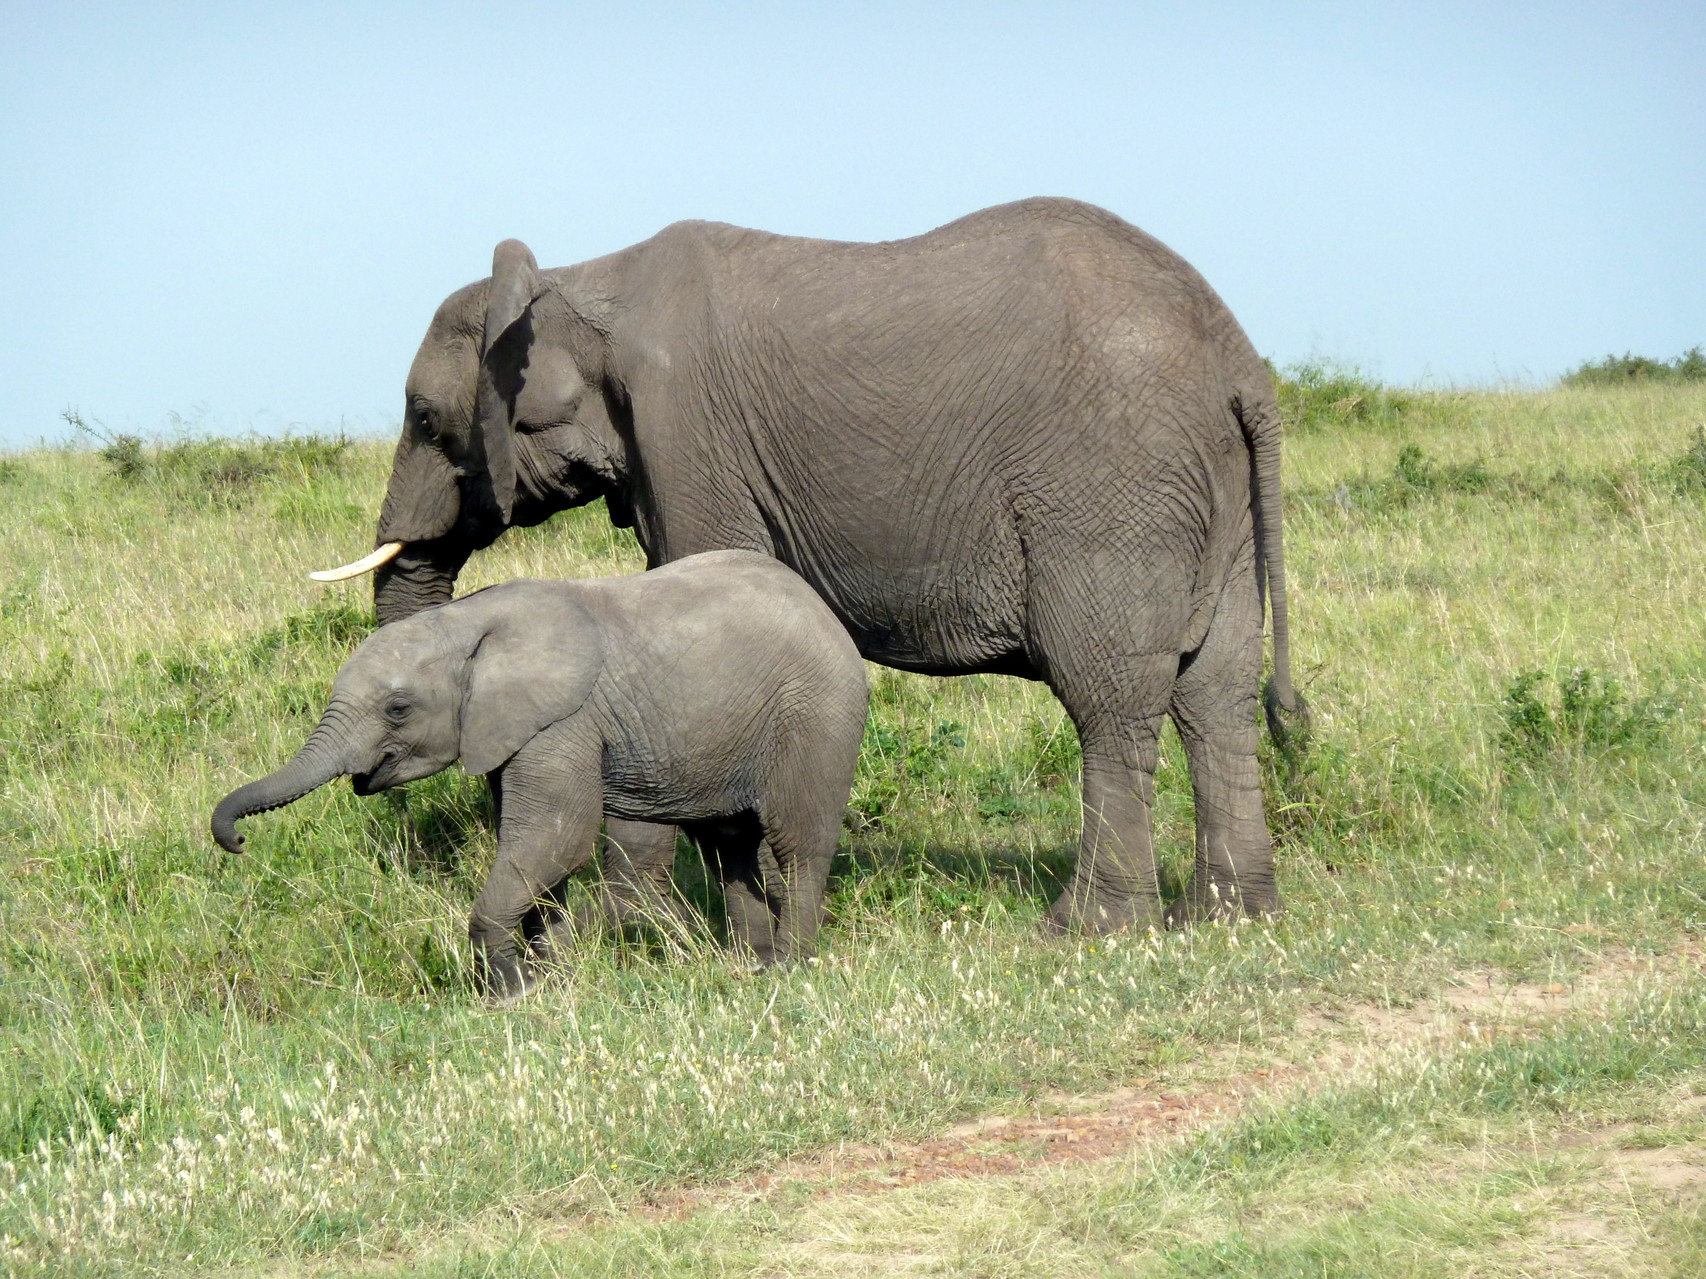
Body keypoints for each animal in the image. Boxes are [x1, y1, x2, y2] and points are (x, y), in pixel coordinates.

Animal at [214, 552, 873, 1002]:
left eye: (397, 708)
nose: (237, 839)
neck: (464, 623)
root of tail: (823, 610)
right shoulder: (508, 731)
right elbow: (533, 846)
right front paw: (547, 972)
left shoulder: (561, 721)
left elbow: (557, 837)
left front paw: (516, 990)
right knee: (726, 847)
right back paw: (747, 965)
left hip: (815, 712)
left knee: (797, 843)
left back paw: (787, 968)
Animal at [317, 202, 1303, 941]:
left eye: (425, 419)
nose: (413, 823)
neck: (580, 276)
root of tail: (1241, 364)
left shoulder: (686, 435)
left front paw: (637, 934)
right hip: (1209, 494)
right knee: (1215, 695)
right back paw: (1231, 916)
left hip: (1107, 488)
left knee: (1110, 702)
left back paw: (1085, 929)